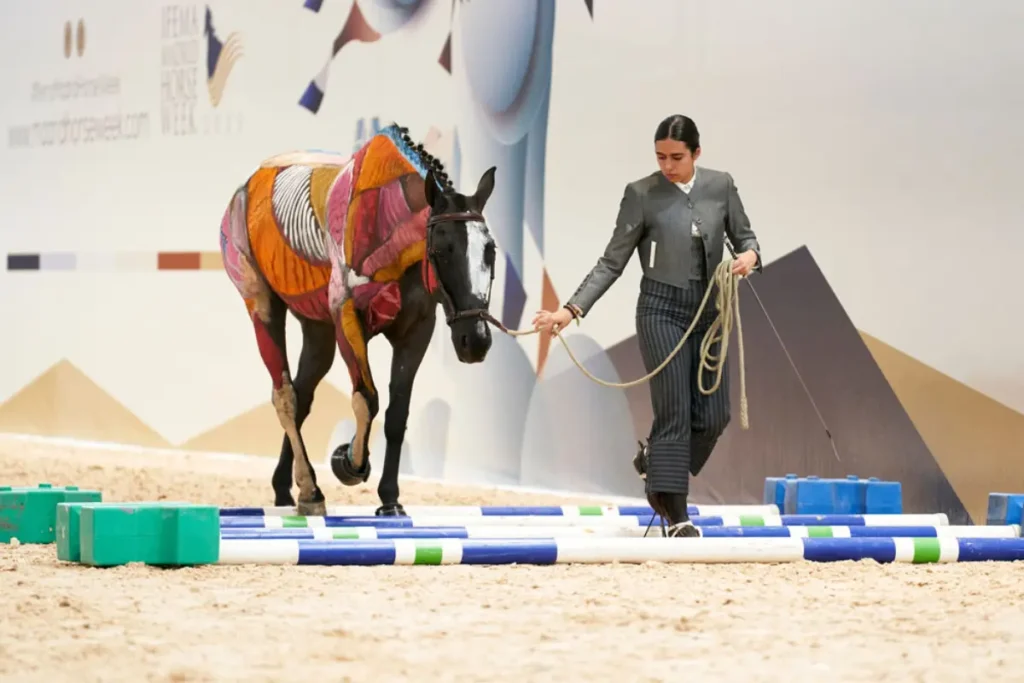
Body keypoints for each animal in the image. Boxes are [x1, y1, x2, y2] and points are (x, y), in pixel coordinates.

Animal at [219, 123, 499, 517]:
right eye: (442, 250)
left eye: (490, 251)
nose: (475, 341)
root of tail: (248, 184)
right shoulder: (347, 320)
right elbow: (366, 398)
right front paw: (349, 462)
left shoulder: (416, 332)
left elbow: (397, 412)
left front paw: (390, 499)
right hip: (261, 305)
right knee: (286, 397)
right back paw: (310, 491)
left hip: (317, 331)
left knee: (303, 396)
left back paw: (286, 488)